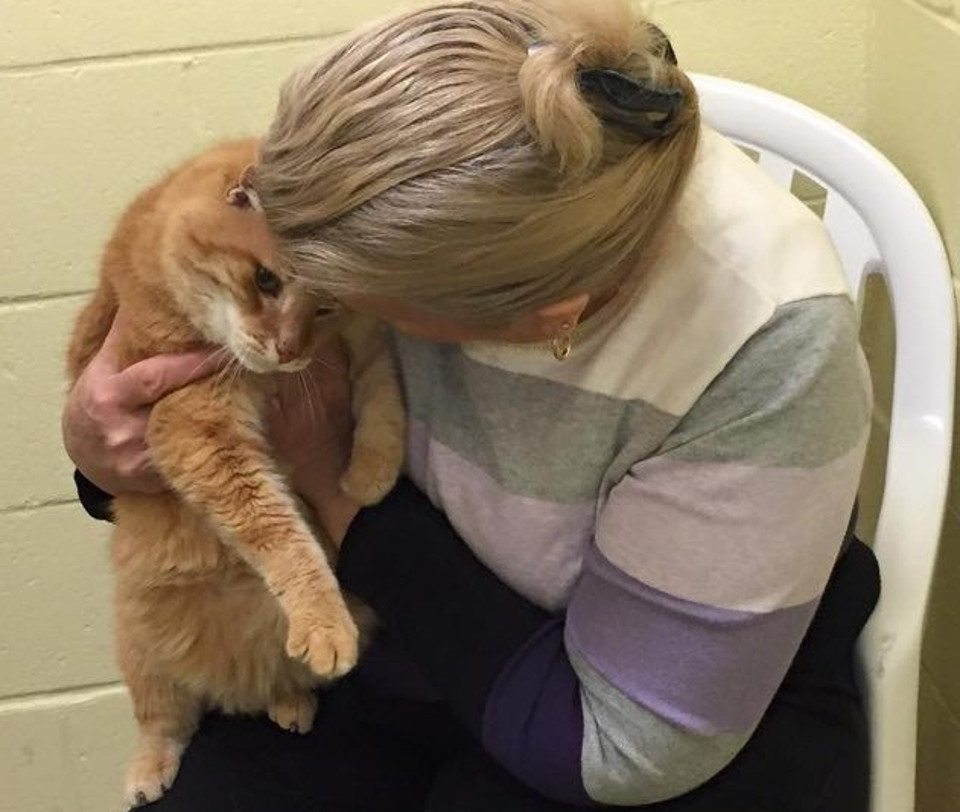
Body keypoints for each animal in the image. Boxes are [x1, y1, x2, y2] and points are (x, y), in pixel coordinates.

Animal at [66, 138, 404, 804]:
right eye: (265, 279)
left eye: (324, 305)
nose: (289, 351)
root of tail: (233, 681)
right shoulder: (196, 429)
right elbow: (281, 535)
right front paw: (324, 620)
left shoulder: (363, 338)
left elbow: (381, 394)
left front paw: (371, 473)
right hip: (142, 653)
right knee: (163, 723)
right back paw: (149, 770)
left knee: (276, 685)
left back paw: (289, 701)